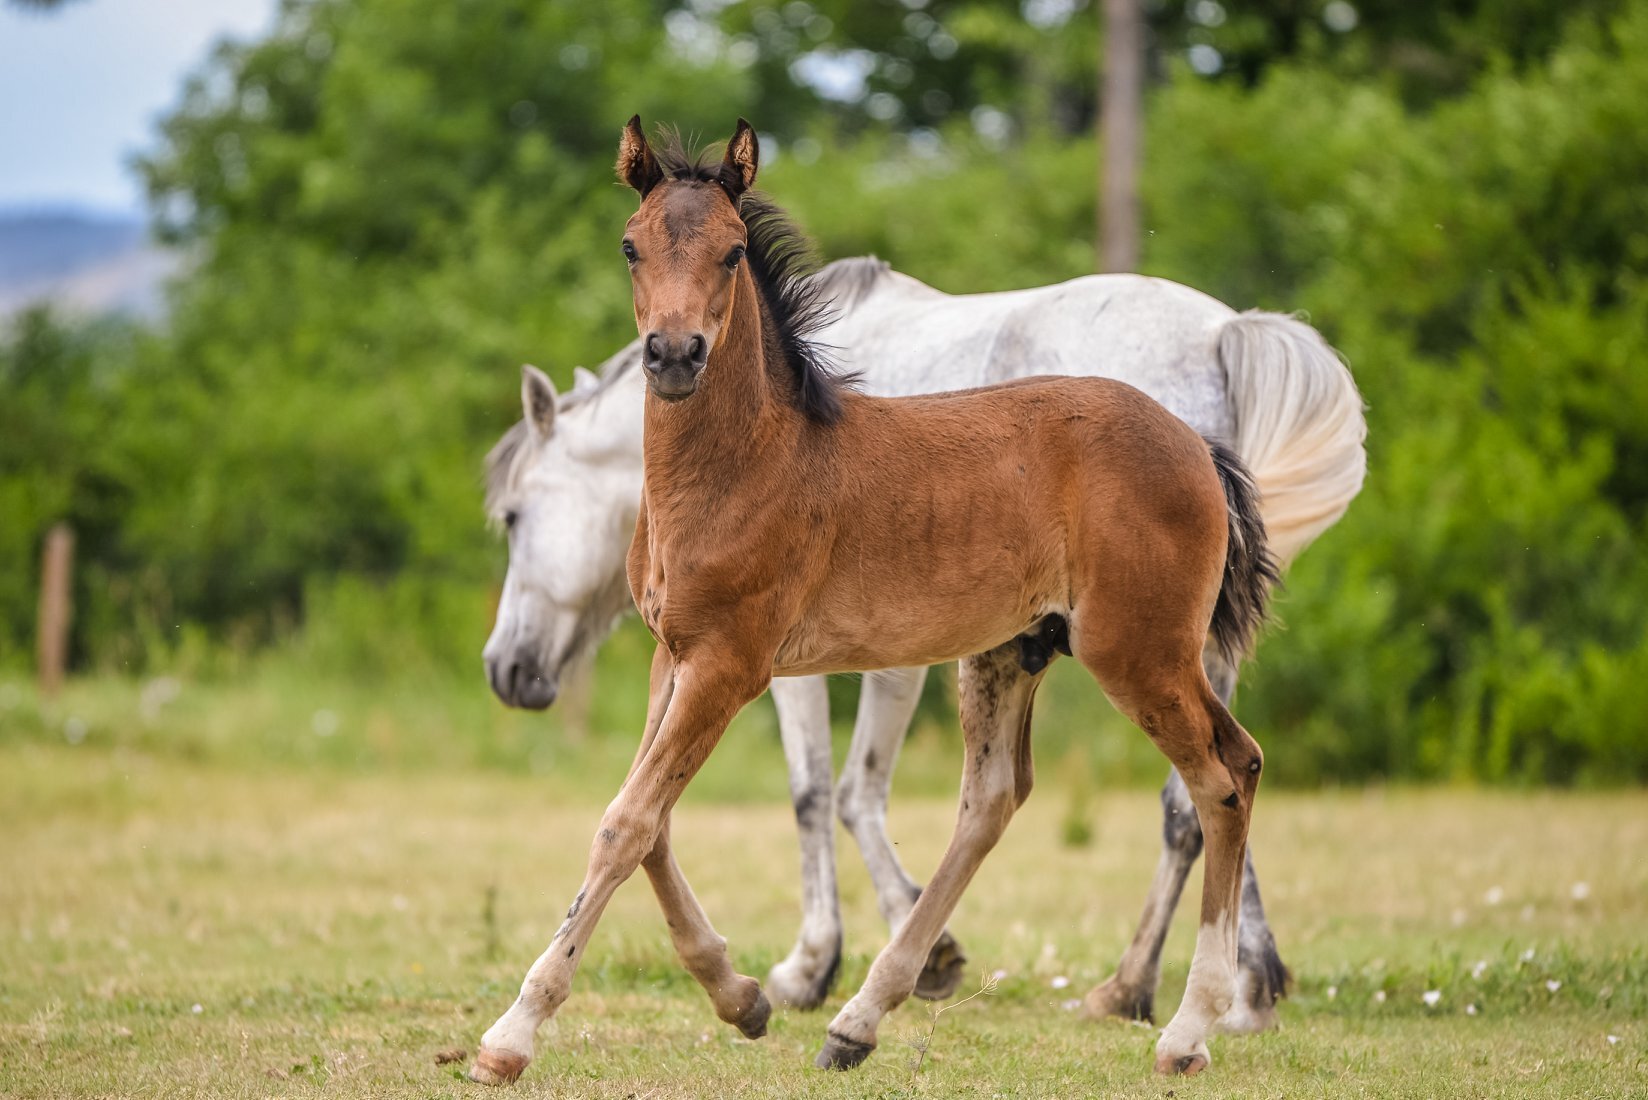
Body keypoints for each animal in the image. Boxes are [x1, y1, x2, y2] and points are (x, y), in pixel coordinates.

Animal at [471, 120, 1278, 1081]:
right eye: (631, 246)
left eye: (732, 251)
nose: (672, 356)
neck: (746, 464)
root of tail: (1196, 444)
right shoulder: (676, 654)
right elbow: (653, 817)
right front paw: (740, 995)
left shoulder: (733, 664)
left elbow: (634, 821)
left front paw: (511, 1033)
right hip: (1015, 651)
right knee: (1004, 796)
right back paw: (860, 1019)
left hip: (1139, 651)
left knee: (1218, 780)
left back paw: (1185, 1027)